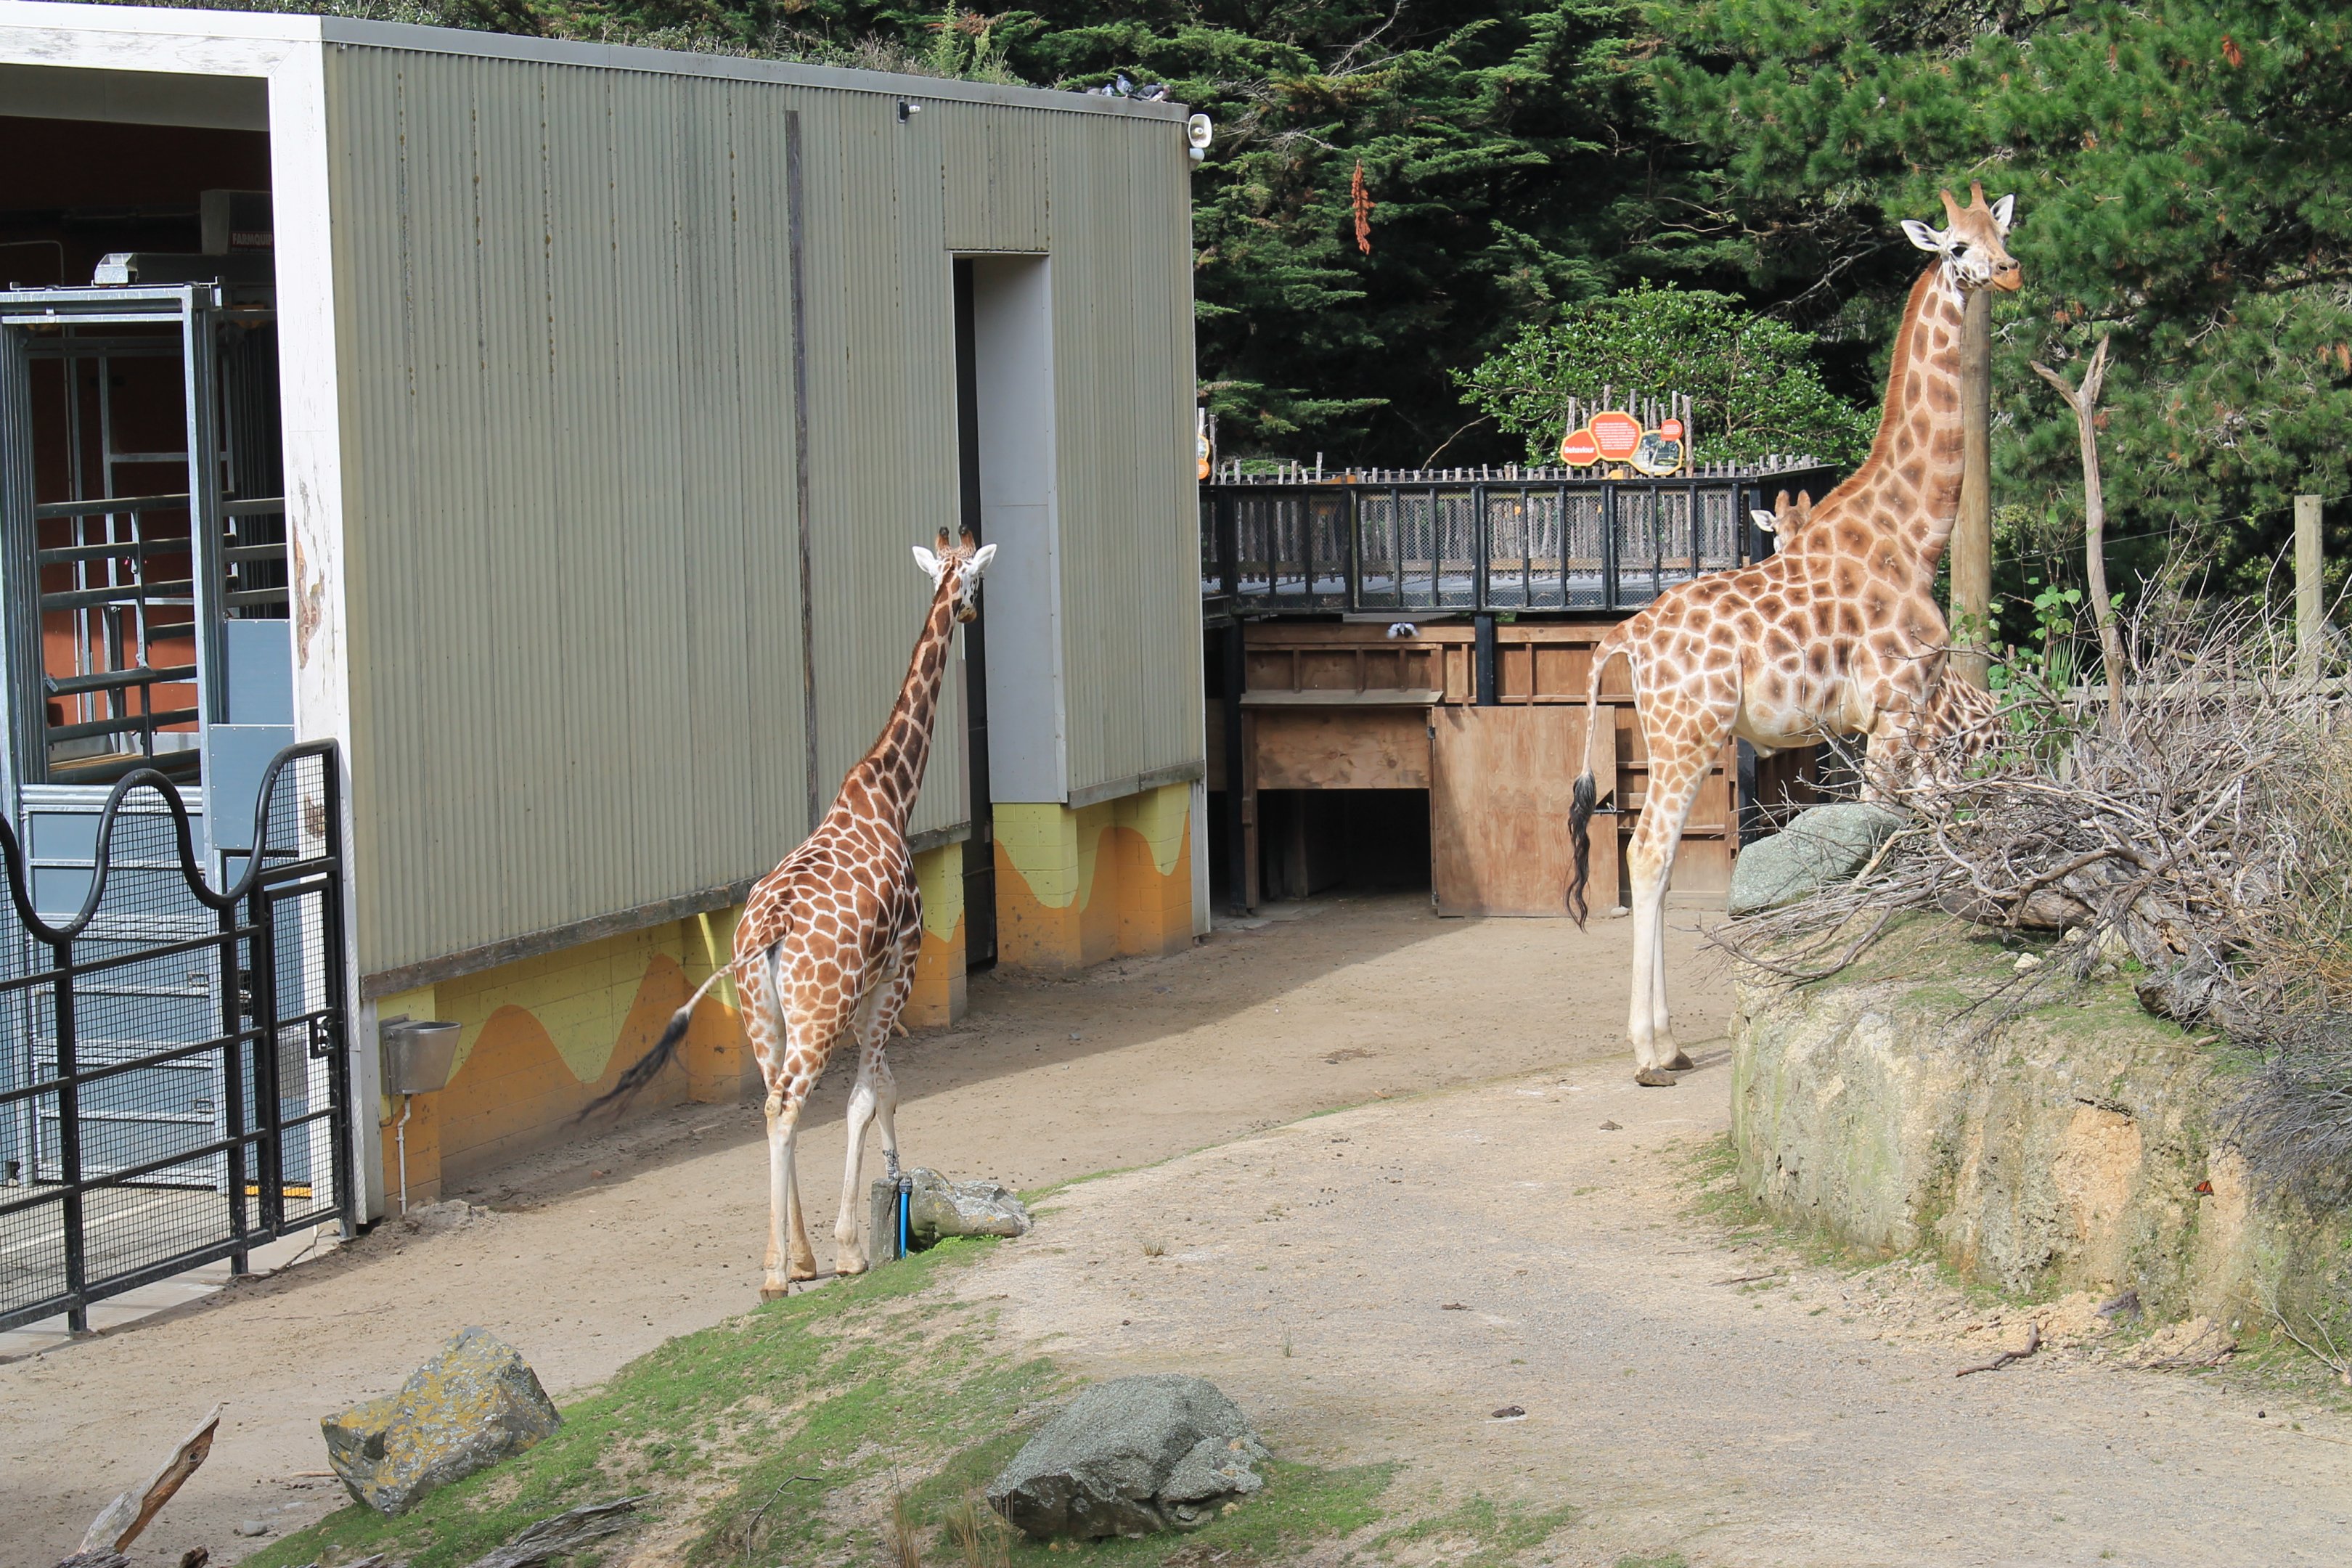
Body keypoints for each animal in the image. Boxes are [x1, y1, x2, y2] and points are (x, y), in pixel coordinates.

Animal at [583, 528, 996, 1293]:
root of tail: (768, 931)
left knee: (773, 1101)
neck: (889, 796)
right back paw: (784, 1271)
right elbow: (872, 1093)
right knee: (790, 1102)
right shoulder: (898, 971)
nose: (972, 614)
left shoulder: (871, 993)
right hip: (818, 1011)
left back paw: (788, 1258)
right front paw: (852, 1245)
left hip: (762, 1014)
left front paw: (859, 1225)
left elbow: (881, 1090)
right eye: (977, 582)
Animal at [1565, 185, 2020, 1086]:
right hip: (1689, 734)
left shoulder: (1876, 724)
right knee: (1648, 854)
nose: (2009, 270)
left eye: (2001, 231)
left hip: (1680, 737)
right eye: (1956, 245)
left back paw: (1670, 1043)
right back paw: (1651, 1054)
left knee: (1659, 859)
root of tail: (1621, 639)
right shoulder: (1898, 710)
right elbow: (1883, 828)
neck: (1912, 537)